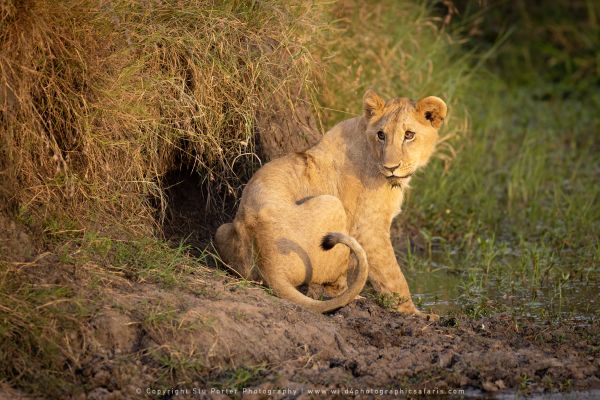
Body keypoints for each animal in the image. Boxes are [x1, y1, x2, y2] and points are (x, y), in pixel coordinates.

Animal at [216, 89, 446, 318]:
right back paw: (357, 297)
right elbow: (393, 276)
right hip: (332, 203)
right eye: (381, 135)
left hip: (223, 230)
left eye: (409, 135)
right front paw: (415, 313)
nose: (391, 167)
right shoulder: (369, 229)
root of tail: (269, 263)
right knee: (334, 284)